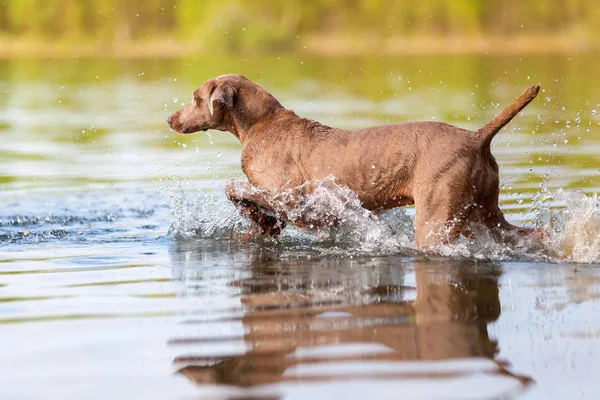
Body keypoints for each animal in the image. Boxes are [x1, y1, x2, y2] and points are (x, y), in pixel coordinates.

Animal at [169, 74, 544, 248]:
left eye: (195, 97)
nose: (171, 118)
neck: (262, 124)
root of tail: (476, 138)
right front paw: (260, 224)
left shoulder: (291, 197)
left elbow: (233, 186)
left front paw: (255, 217)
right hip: (484, 211)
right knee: (531, 233)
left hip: (437, 217)